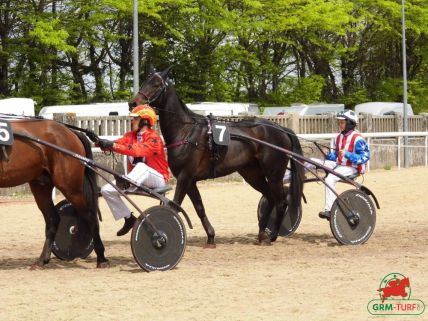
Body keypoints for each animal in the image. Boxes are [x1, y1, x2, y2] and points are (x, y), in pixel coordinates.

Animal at [0, 117, 108, 268]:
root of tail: (70, 131)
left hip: (70, 186)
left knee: (90, 215)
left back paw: (101, 258)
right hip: (41, 186)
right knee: (53, 219)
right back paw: (42, 260)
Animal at [129, 68, 306, 245]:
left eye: (157, 85)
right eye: (145, 81)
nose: (133, 103)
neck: (186, 131)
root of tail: (281, 129)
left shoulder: (185, 177)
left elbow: (174, 206)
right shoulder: (190, 180)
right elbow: (199, 208)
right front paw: (210, 236)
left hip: (274, 174)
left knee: (281, 202)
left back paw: (273, 235)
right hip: (252, 174)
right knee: (269, 197)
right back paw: (262, 233)